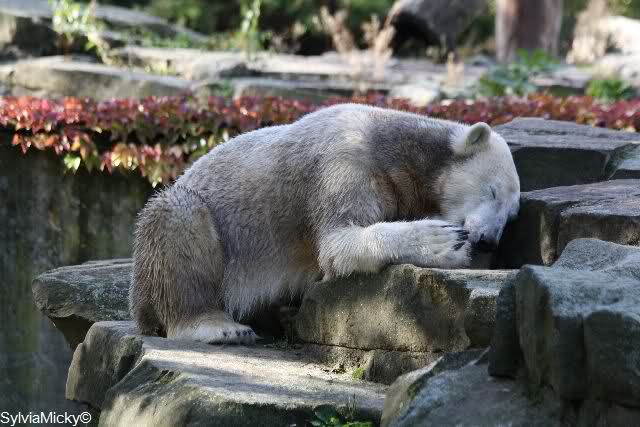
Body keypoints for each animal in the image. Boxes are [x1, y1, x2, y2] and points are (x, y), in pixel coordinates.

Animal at [130, 103, 520, 344]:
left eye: (512, 213)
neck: (395, 148)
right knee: (179, 219)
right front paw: (445, 242)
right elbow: (338, 242)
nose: (487, 240)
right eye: (492, 191)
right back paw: (218, 326)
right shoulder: (344, 161)